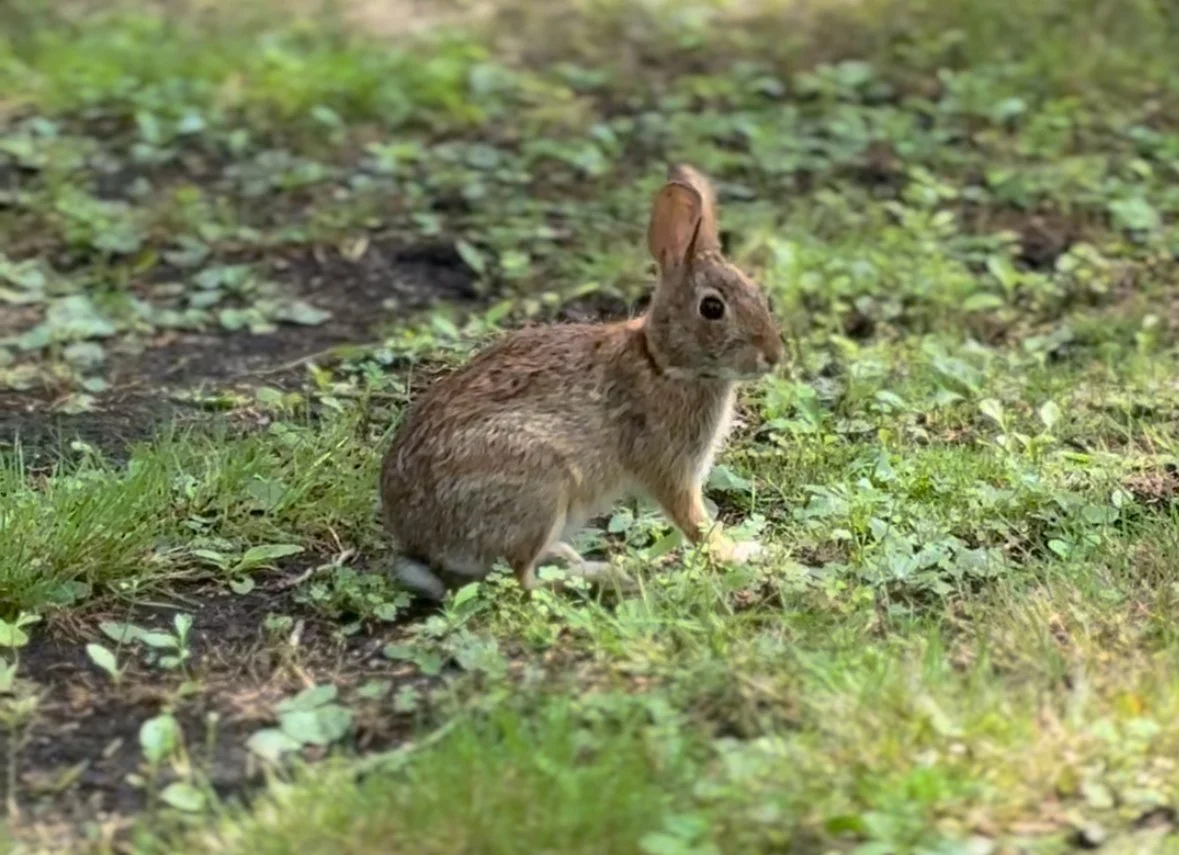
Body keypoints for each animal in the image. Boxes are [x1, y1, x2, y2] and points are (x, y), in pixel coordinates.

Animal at [380, 164, 783, 600]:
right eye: (712, 308)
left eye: (756, 291)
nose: (773, 355)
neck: (661, 362)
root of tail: (420, 543)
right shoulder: (670, 468)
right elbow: (694, 521)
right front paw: (737, 554)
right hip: (539, 488)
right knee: (523, 581)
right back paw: (604, 577)